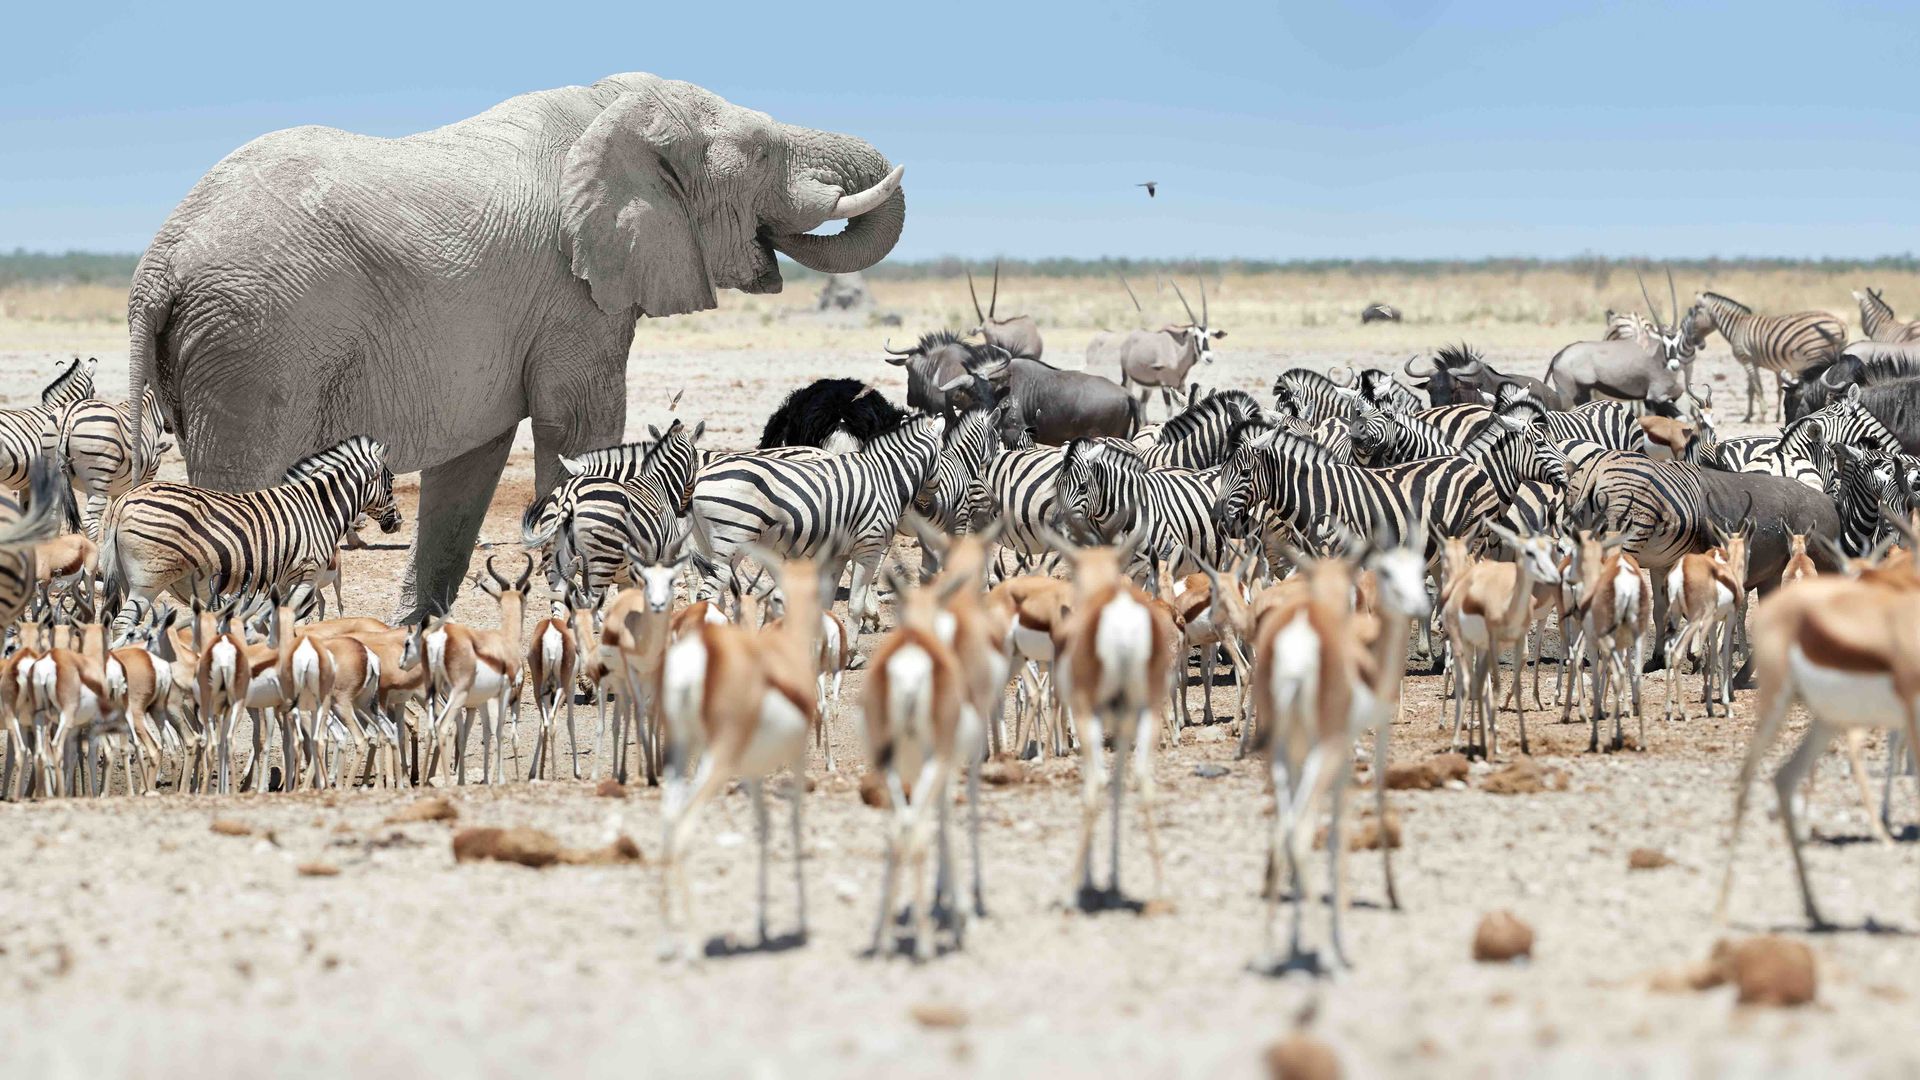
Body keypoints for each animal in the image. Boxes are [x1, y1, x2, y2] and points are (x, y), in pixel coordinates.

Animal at [55, 388, 170, 540]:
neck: (148, 414)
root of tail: (69, 416)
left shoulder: (118, 488)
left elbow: (113, 513)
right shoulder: (151, 469)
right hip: (99, 477)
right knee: (90, 522)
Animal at [99, 436, 401, 631]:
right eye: (391, 483)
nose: (397, 522)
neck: (317, 509)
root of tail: (124, 500)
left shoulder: (284, 580)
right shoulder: (307, 574)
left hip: (142, 579)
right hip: (147, 582)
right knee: (122, 623)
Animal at [126, 72, 905, 617]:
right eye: (763, 151)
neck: (611, 104)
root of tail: (155, 268)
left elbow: (472, 461)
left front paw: (418, 648)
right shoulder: (572, 296)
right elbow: (580, 428)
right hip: (252, 351)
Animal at [688, 416, 944, 636]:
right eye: (943, 453)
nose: (929, 506)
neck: (885, 476)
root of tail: (700, 476)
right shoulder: (867, 543)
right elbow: (853, 601)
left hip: (713, 545)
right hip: (731, 543)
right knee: (709, 595)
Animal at [1693, 291, 1846, 422]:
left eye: (1694, 313)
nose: (1698, 344)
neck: (1737, 327)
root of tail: (1840, 323)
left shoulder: (1747, 360)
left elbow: (1758, 387)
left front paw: (1762, 415)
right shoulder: (1759, 363)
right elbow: (1755, 389)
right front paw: (1750, 416)